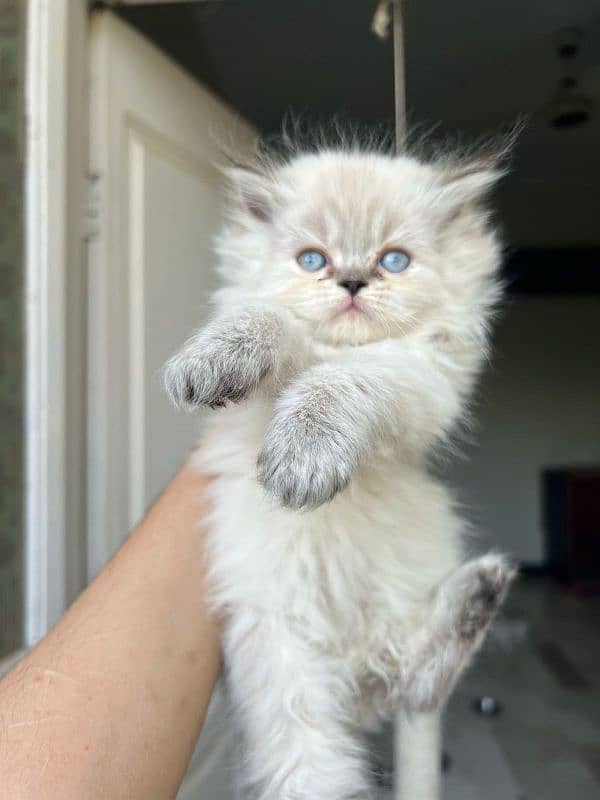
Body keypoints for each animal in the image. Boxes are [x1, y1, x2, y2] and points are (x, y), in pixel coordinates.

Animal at [164, 134, 516, 796]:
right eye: (312, 260)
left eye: (394, 261)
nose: (352, 281)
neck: (326, 350)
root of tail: (354, 667)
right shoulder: (266, 385)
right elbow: (267, 321)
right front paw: (214, 359)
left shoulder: (414, 381)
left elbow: (340, 383)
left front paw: (303, 456)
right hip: (286, 684)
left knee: (415, 684)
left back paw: (483, 587)